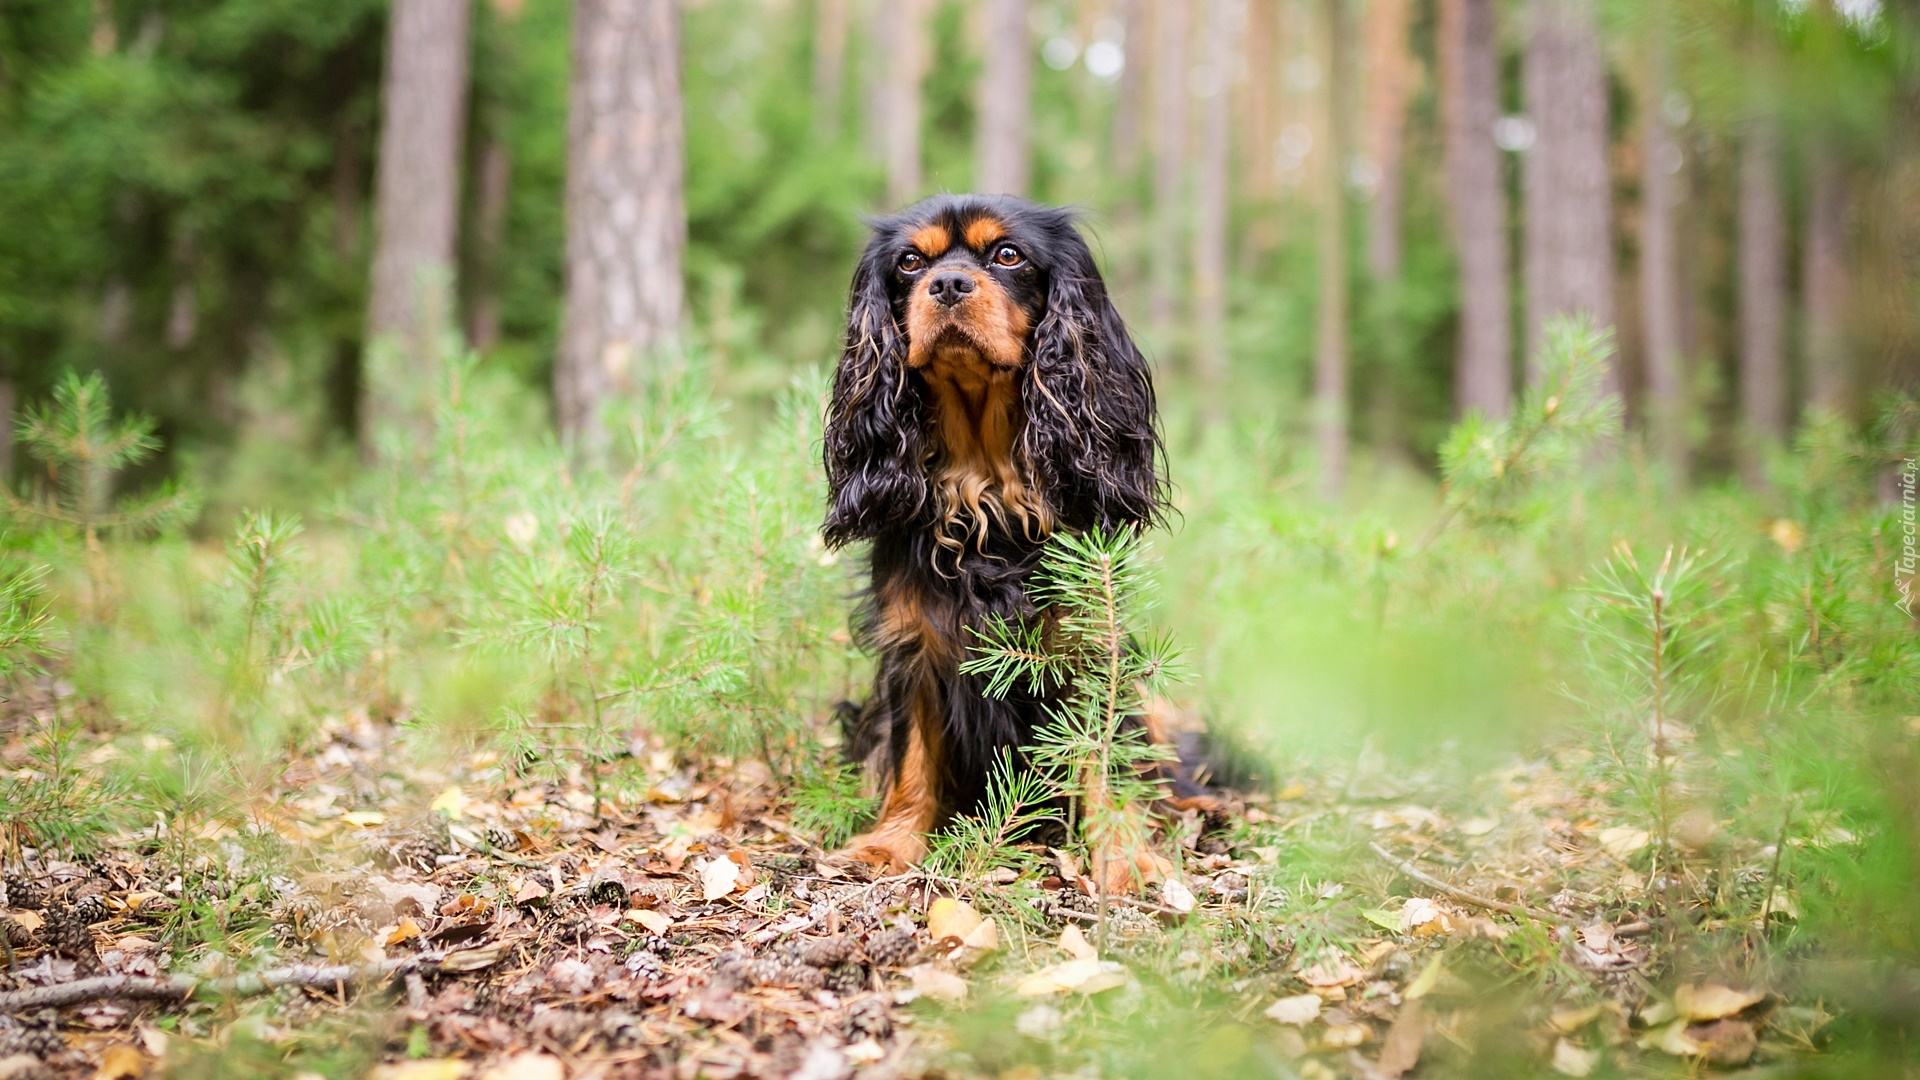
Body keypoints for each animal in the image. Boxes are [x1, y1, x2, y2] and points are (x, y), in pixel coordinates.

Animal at [821, 193, 1213, 883]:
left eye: (1008, 255)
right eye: (910, 263)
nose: (948, 283)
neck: (986, 480)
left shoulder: (1090, 652)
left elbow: (1105, 759)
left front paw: (1125, 859)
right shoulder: (913, 645)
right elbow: (911, 756)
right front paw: (889, 844)